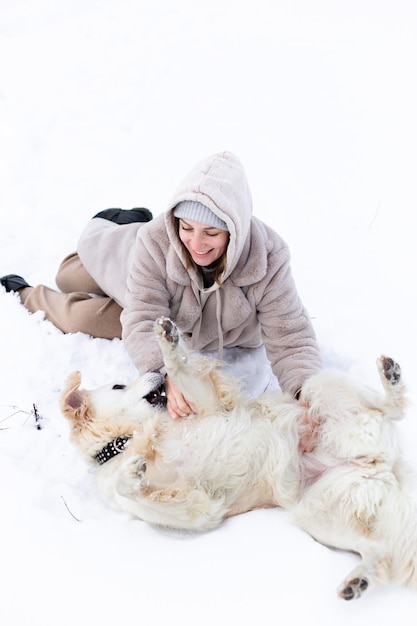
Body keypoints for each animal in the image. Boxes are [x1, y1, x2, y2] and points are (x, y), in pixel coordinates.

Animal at [61, 314, 416, 596]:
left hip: (321, 386)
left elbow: (184, 368)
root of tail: (381, 462)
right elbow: (132, 489)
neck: (131, 438)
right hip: (315, 513)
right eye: (119, 386)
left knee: (394, 409)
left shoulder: (208, 403)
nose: (158, 376)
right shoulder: (195, 512)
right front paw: (133, 473)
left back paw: (391, 377)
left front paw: (170, 343)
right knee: (378, 551)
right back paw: (357, 582)